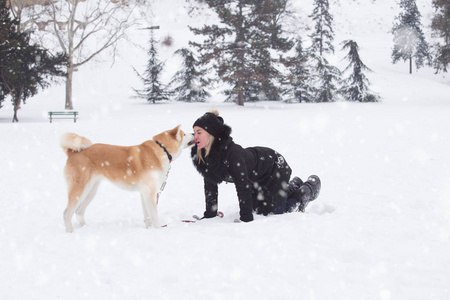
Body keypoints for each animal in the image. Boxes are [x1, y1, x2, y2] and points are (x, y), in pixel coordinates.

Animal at [60, 124, 193, 232]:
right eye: (184, 134)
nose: (193, 133)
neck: (162, 149)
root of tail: (72, 152)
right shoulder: (150, 193)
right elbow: (154, 217)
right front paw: (157, 231)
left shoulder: (144, 193)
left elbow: (147, 217)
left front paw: (148, 230)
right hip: (80, 189)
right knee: (67, 213)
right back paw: (70, 231)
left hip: (91, 191)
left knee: (79, 211)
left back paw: (86, 228)